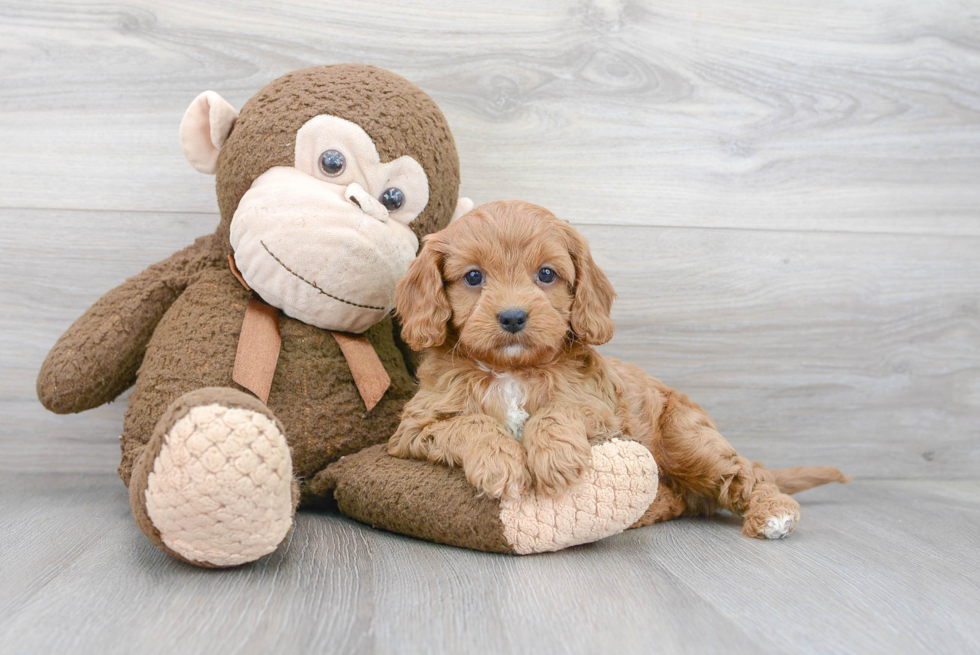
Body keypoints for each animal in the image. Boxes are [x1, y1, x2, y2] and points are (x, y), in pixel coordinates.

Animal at [386, 200, 848, 540]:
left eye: (546, 274)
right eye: (473, 277)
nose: (513, 317)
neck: (512, 371)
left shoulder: (601, 412)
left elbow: (557, 410)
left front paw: (554, 456)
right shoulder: (414, 429)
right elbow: (470, 422)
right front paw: (499, 462)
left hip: (688, 439)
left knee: (746, 472)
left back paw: (774, 513)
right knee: (682, 497)